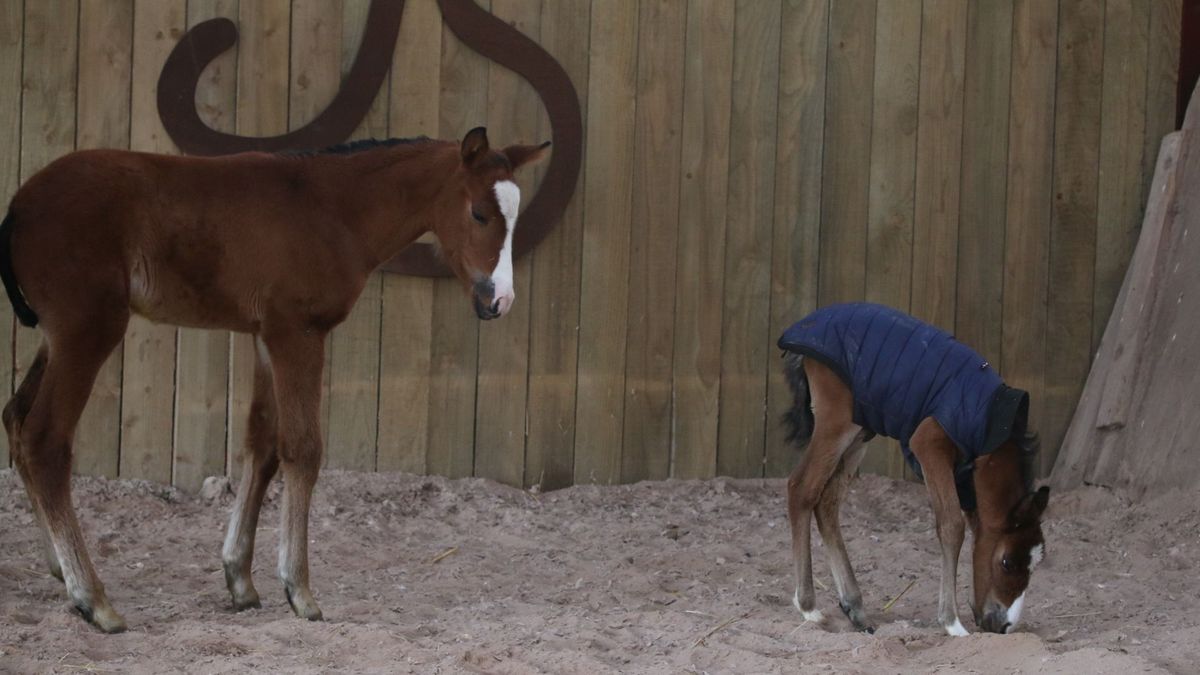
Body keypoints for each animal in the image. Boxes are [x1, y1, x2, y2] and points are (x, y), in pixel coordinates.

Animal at [0, 126, 549, 629]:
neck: (332, 208)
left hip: (57, 337)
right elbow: (303, 449)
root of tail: (18, 209)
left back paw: (59, 568)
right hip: (88, 330)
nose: (498, 300)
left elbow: (262, 444)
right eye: (478, 213)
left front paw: (239, 579)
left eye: (514, 218)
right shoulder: (297, 332)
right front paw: (300, 590)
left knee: (16, 418)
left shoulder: (265, 336)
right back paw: (93, 599)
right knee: (45, 438)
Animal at [777, 302, 1051, 634]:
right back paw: (808, 606)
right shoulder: (928, 442)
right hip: (836, 422)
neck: (989, 425)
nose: (1004, 626)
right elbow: (952, 525)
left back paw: (855, 608)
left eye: (1034, 564)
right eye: (1007, 562)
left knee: (827, 502)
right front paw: (952, 623)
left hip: (861, 430)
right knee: (802, 488)